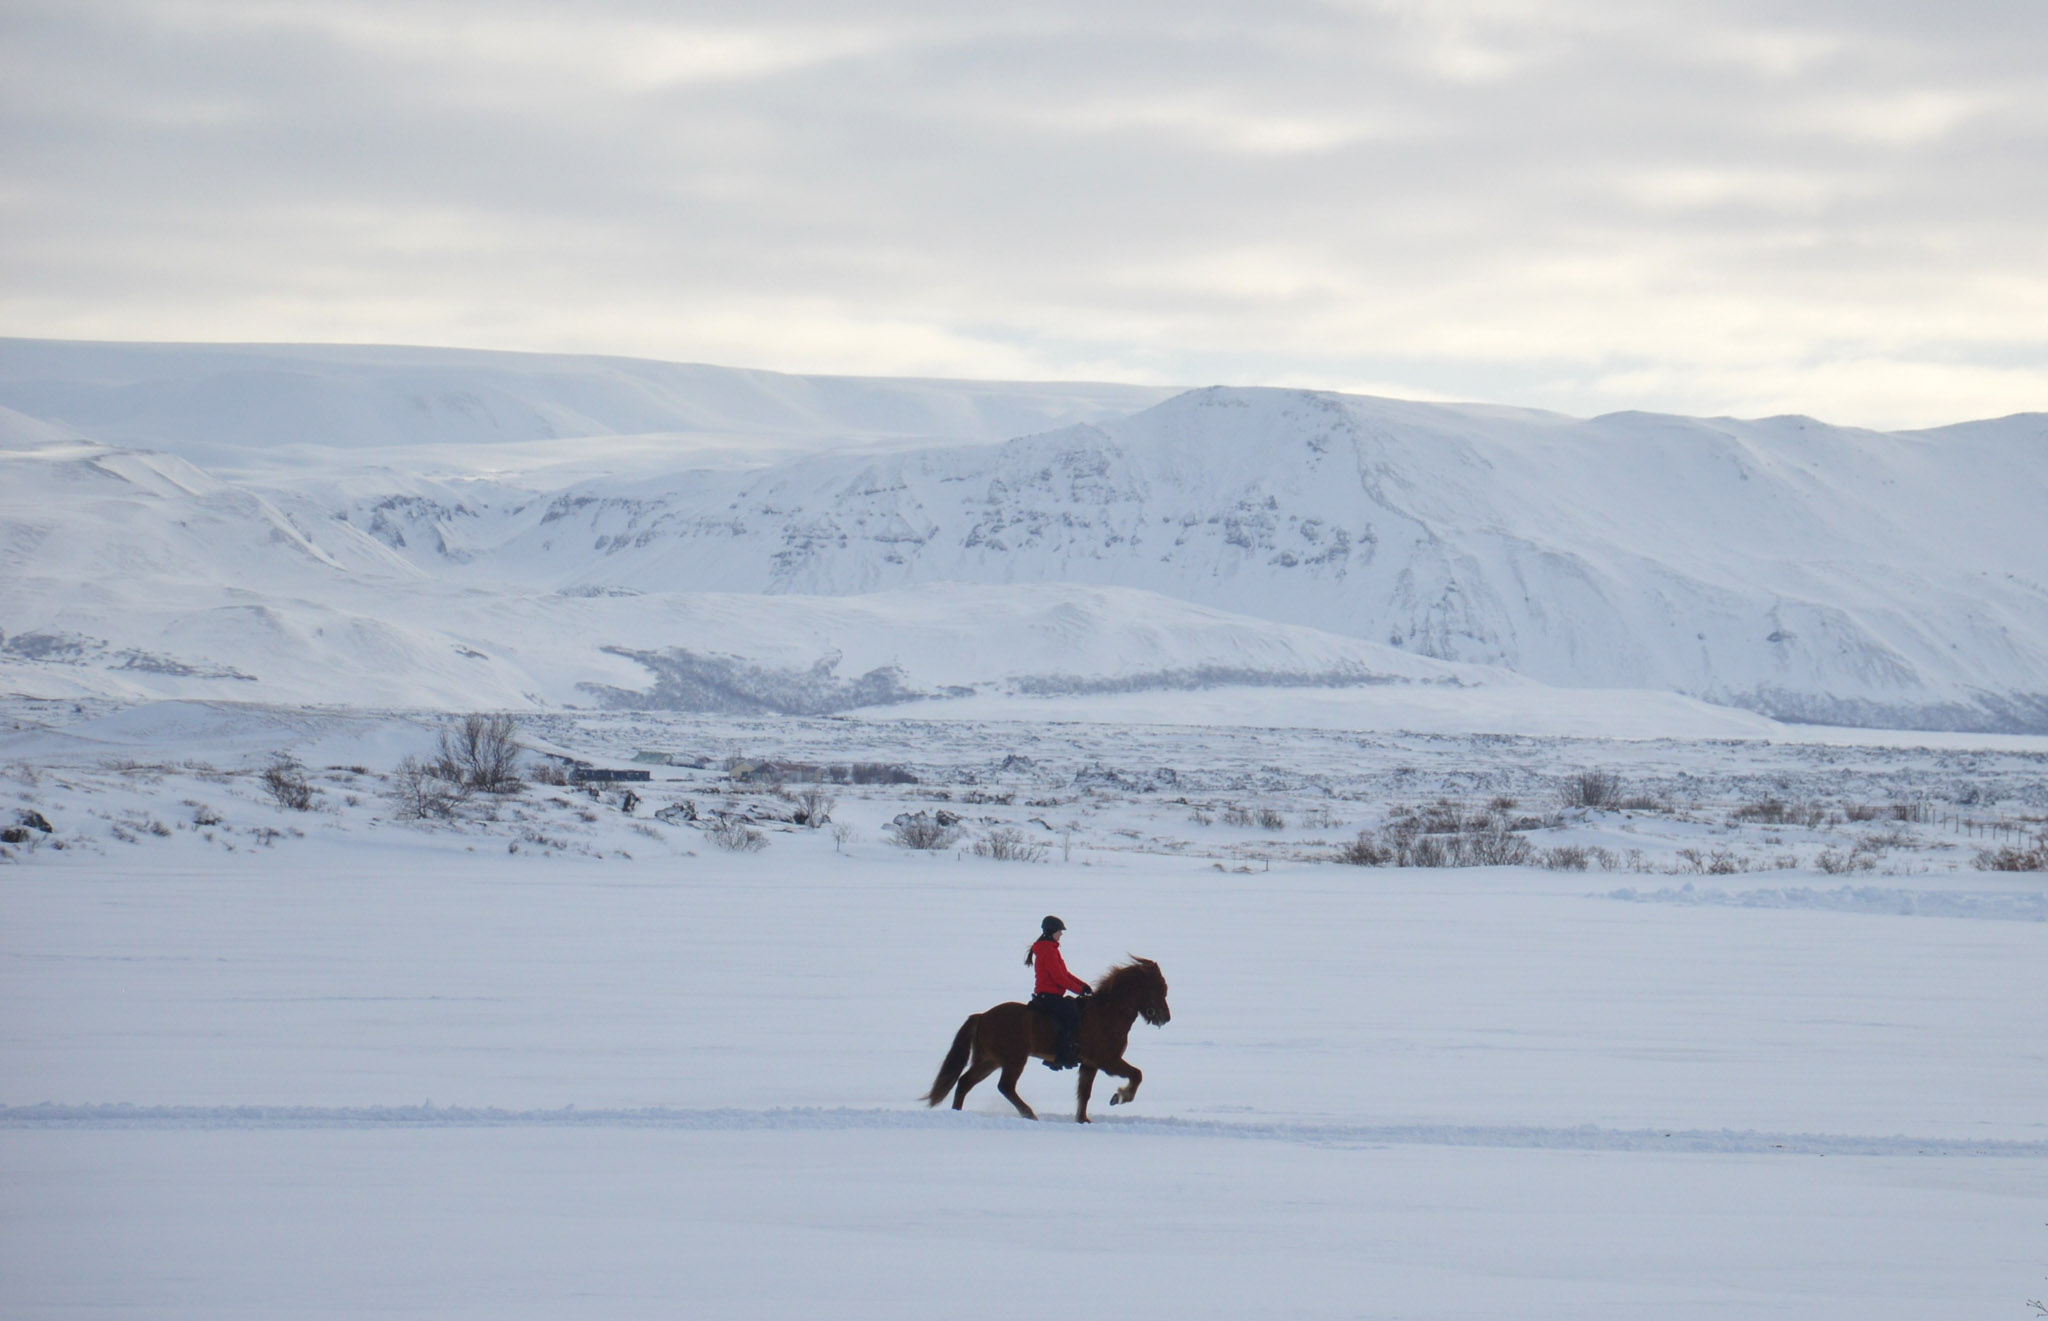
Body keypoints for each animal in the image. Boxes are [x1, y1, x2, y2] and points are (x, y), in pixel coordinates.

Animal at [925, 954, 1171, 1114]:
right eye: (1159, 988)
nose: (1166, 1017)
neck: (1108, 1012)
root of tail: (983, 1016)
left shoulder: (1089, 1064)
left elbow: (1084, 1094)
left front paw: (1083, 1120)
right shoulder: (1107, 1061)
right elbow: (1137, 1074)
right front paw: (1120, 1097)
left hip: (989, 1060)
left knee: (965, 1082)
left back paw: (957, 1112)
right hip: (1014, 1060)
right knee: (1005, 1086)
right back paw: (1029, 1114)